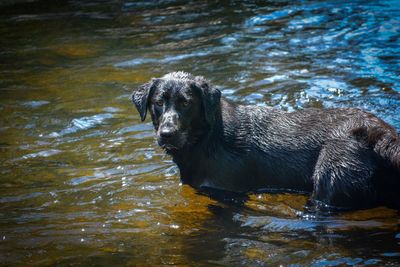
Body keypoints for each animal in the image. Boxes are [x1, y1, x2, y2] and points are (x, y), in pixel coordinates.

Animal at [132, 71, 400, 211]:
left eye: (186, 103)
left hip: (331, 178)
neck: (208, 138)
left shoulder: (228, 194)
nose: (167, 133)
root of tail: (382, 134)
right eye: (158, 102)